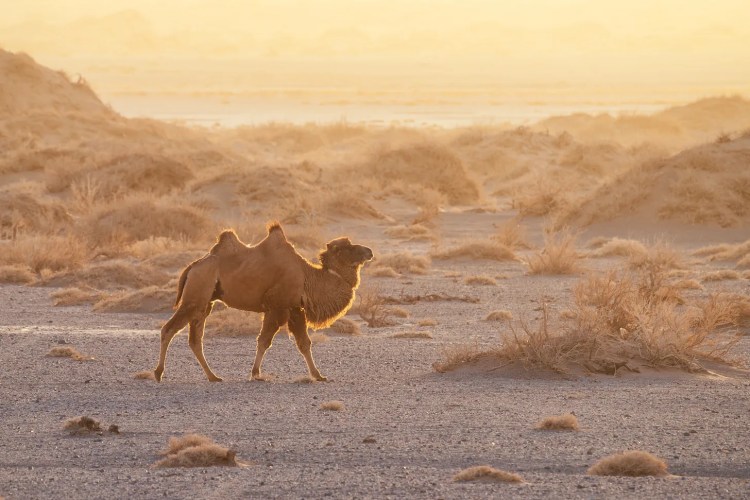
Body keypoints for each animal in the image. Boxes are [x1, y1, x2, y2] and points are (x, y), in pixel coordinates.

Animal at [153, 223, 373, 382]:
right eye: (348, 248)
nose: (369, 251)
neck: (308, 277)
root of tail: (192, 267)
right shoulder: (278, 306)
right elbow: (264, 341)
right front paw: (255, 374)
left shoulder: (294, 308)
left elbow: (304, 343)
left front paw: (318, 375)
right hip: (196, 295)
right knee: (169, 329)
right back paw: (158, 373)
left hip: (205, 302)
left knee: (195, 339)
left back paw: (213, 376)